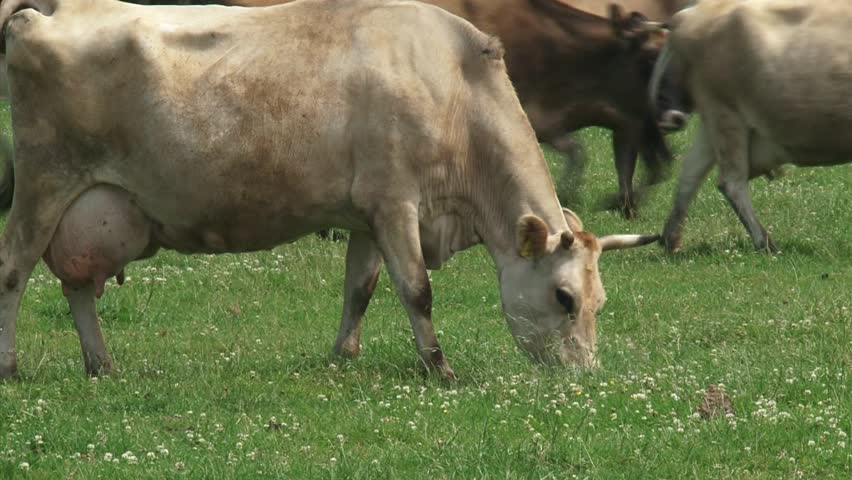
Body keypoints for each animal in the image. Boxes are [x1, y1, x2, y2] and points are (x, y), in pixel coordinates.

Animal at [0, 0, 660, 378]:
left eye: (599, 303)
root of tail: (43, 13)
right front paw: (439, 368)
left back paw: (101, 364)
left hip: (89, 210)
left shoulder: (368, 214)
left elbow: (361, 288)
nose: (584, 374)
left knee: (77, 287)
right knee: (14, 271)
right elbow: (416, 291)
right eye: (565, 298)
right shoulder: (396, 204)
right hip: (43, 186)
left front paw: (344, 355)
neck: (455, 87)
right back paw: (10, 365)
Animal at [656, 0, 852, 253]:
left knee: (690, 176)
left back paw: (671, 240)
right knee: (731, 183)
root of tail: (690, 13)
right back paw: (765, 242)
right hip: (725, 114)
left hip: (713, 121)